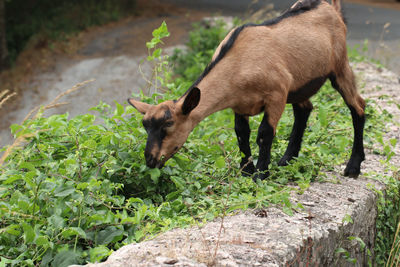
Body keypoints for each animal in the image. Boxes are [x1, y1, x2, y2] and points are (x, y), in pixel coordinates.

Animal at [128, 0, 366, 181]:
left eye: (168, 125)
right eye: (145, 126)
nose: (150, 160)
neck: (239, 62)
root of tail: (330, 7)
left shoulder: (277, 93)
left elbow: (264, 133)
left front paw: (260, 174)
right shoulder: (239, 103)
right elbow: (241, 133)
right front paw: (246, 170)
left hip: (340, 65)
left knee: (358, 106)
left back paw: (353, 167)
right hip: (300, 85)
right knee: (304, 109)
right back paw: (287, 160)